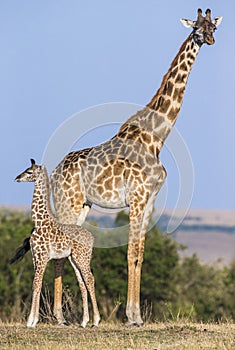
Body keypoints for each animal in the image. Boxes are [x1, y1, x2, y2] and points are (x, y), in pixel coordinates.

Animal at [14, 160, 99, 330]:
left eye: (29, 172)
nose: (17, 178)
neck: (39, 222)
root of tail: (92, 238)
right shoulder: (35, 257)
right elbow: (38, 284)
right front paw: (33, 320)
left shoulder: (42, 256)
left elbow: (35, 283)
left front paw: (31, 321)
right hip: (74, 259)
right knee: (82, 282)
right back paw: (84, 322)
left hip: (82, 257)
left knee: (89, 279)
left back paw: (96, 321)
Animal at [50, 8, 222, 326]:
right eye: (196, 29)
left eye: (212, 27)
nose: (210, 40)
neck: (156, 138)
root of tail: (54, 172)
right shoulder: (137, 199)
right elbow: (130, 252)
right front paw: (131, 317)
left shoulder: (150, 201)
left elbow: (141, 253)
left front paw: (138, 314)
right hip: (68, 201)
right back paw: (59, 317)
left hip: (83, 205)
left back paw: (65, 316)